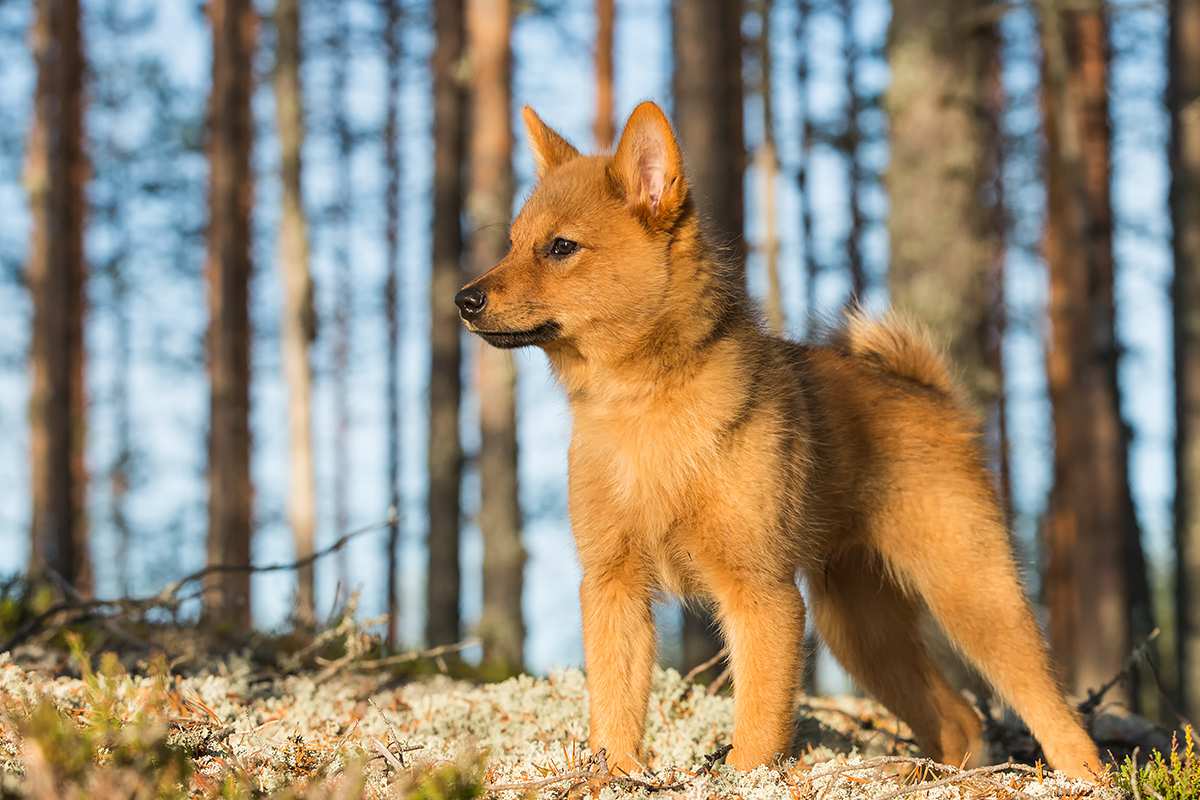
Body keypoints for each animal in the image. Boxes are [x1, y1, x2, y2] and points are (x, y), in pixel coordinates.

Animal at [453, 101, 1099, 782]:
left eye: (561, 247)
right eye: (512, 244)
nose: (463, 299)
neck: (644, 410)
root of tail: (935, 398)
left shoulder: (760, 594)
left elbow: (759, 724)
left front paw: (742, 776)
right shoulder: (613, 586)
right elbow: (614, 707)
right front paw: (609, 776)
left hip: (973, 596)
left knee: (1052, 711)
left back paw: (1084, 776)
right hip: (861, 633)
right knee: (958, 718)